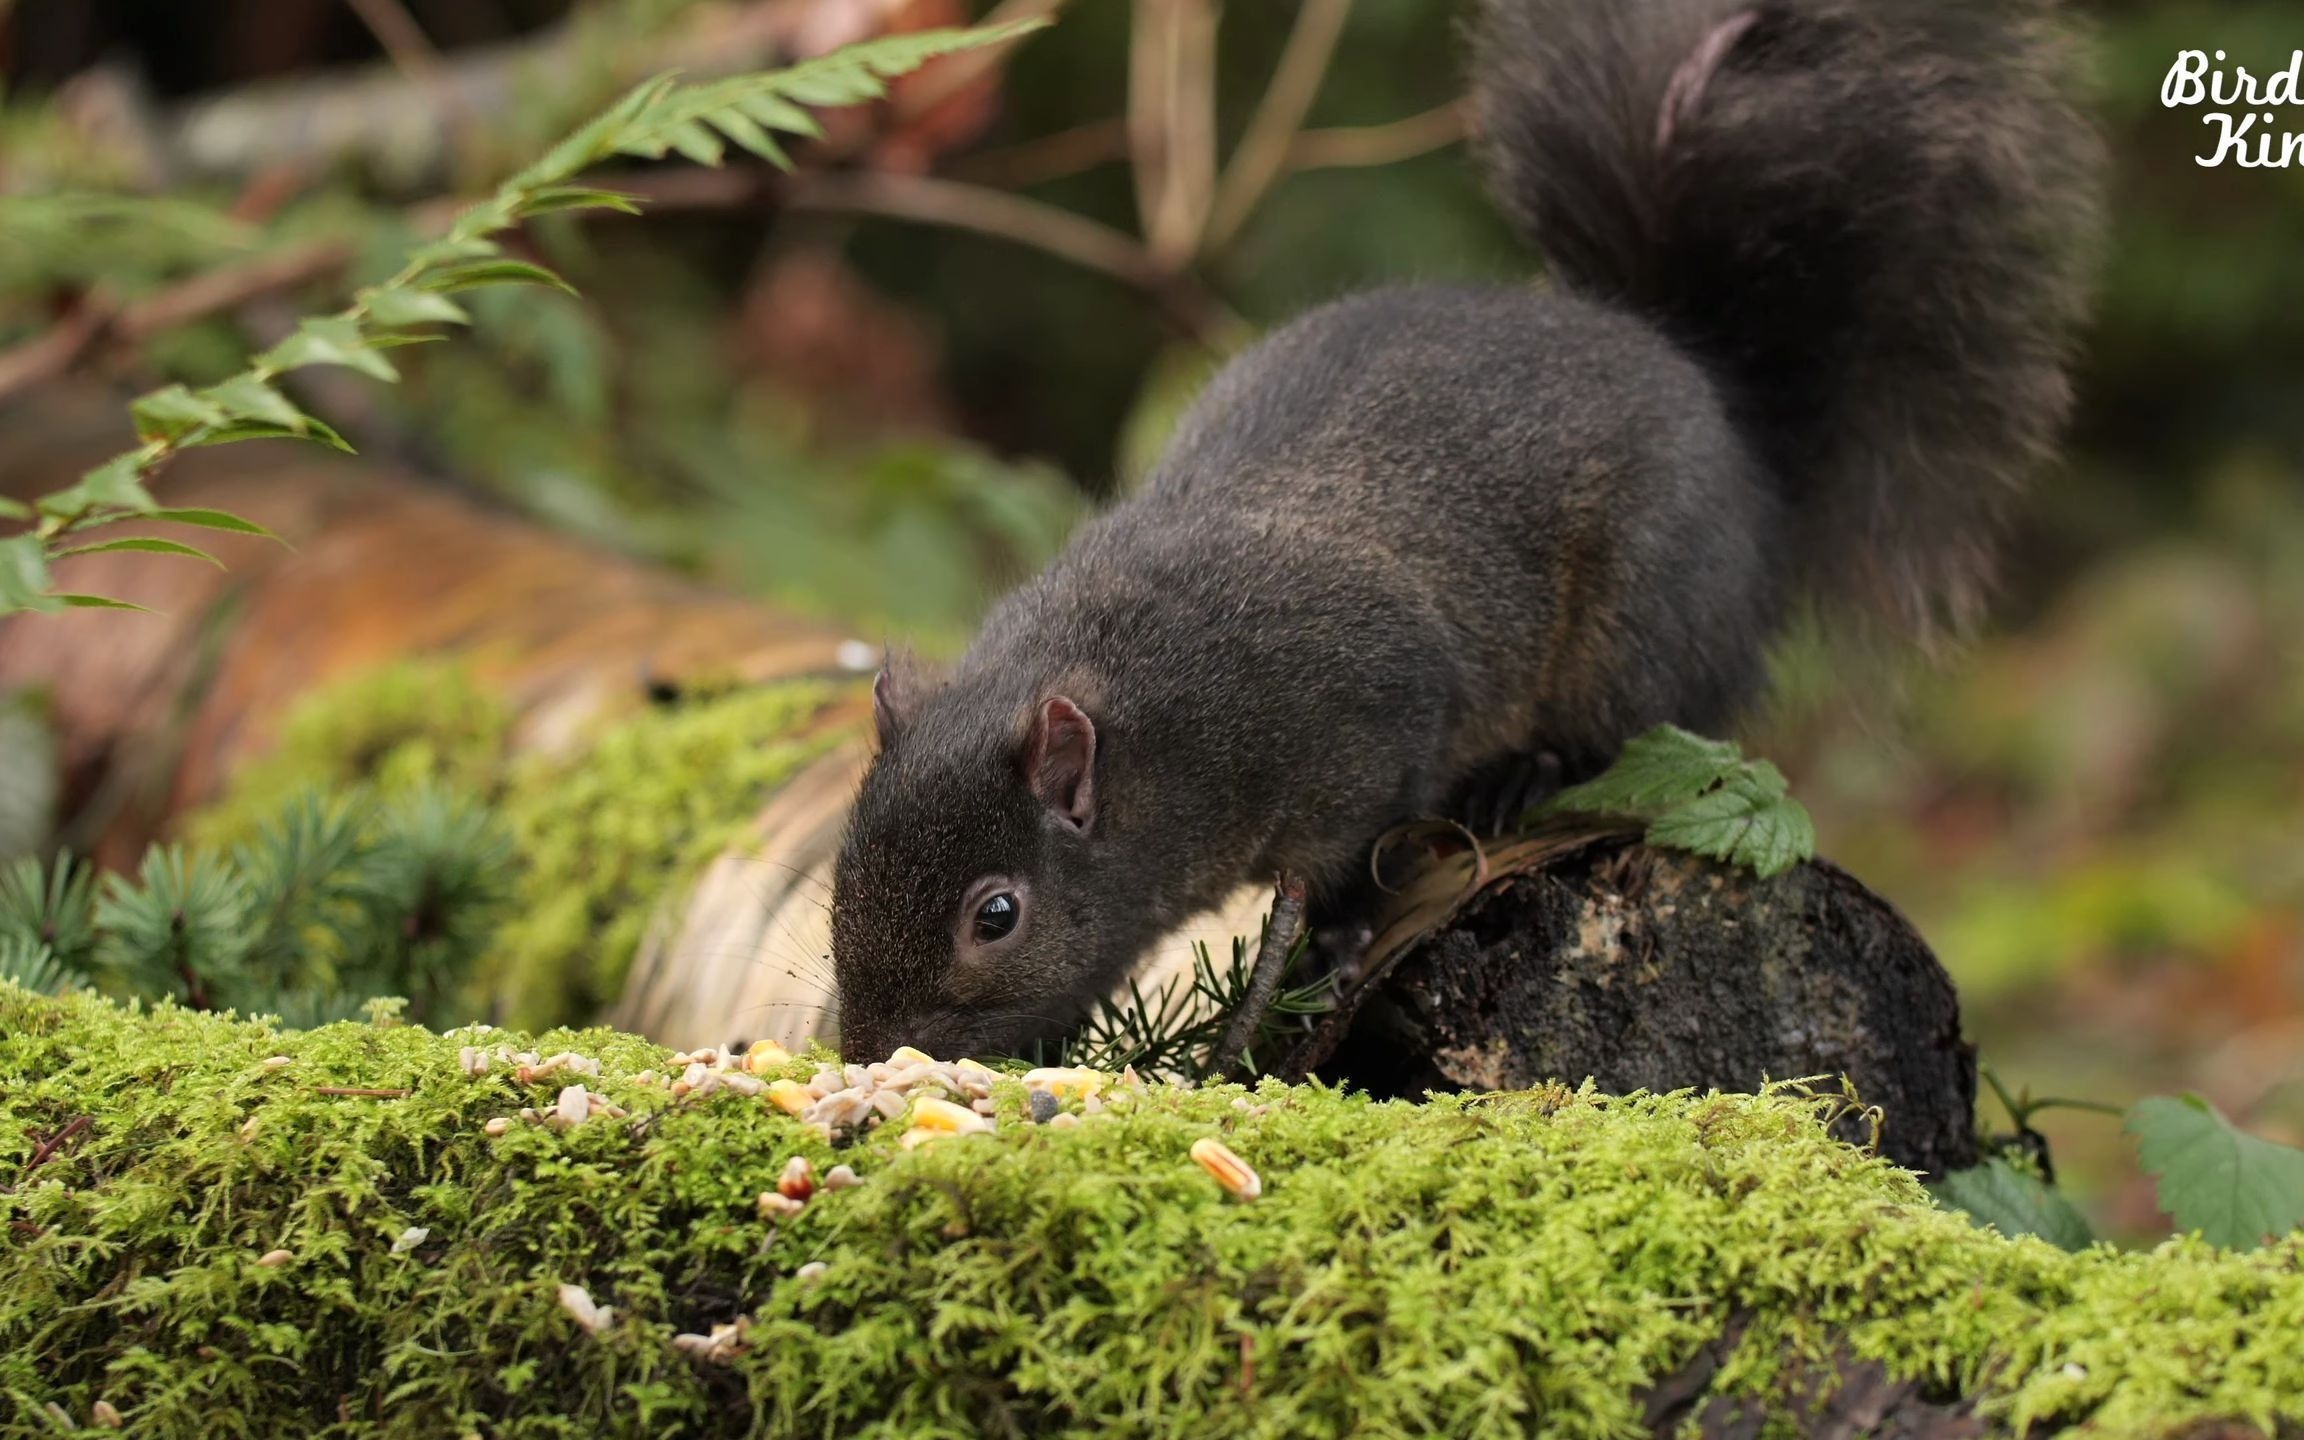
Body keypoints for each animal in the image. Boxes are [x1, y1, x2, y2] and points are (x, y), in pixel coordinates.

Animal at [829, 0, 2110, 1055]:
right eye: (841, 861)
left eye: (996, 914)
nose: (870, 1049)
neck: (1147, 705)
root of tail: (1702, 388)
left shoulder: (1361, 724)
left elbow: (1342, 863)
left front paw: (1317, 960)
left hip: (1646, 626)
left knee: (1639, 728)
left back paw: (1521, 776)